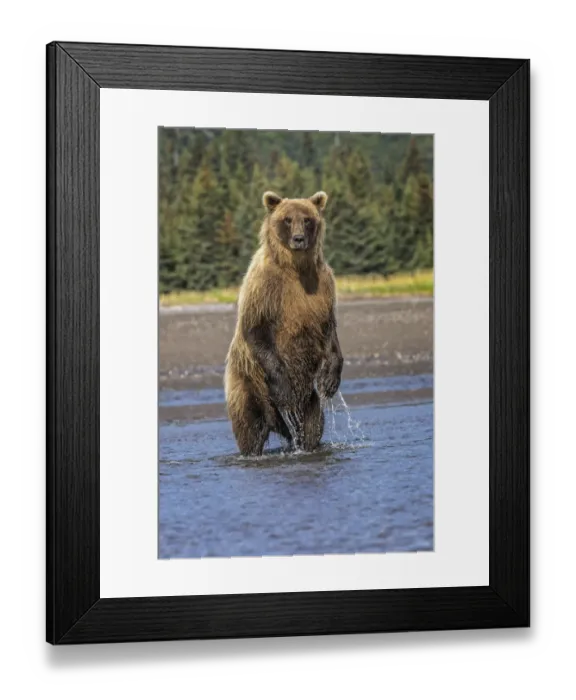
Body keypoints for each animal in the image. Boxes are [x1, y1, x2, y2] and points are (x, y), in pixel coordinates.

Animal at [224, 190, 343, 456]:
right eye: (287, 219)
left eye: (307, 219)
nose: (299, 239)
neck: (295, 267)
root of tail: (276, 422)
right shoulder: (264, 288)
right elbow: (257, 330)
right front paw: (284, 389)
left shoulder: (322, 287)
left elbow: (329, 329)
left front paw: (329, 380)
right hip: (248, 385)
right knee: (250, 428)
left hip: (309, 401)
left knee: (312, 427)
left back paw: (307, 445)